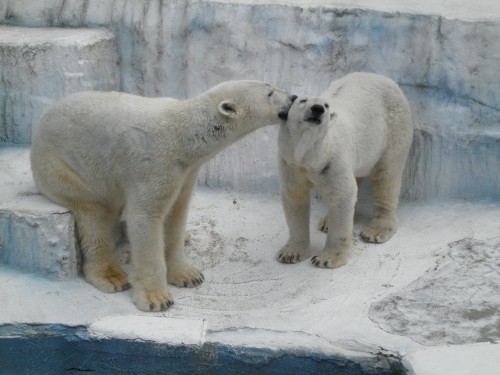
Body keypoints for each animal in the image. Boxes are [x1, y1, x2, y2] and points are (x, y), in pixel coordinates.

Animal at [30, 81, 296, 312]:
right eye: (270, 92)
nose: (293, 98)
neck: (184, 135)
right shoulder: (154, 163)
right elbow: (146, 218)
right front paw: (157, 298)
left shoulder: (186, 171)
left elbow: (176, 214)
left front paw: (188, 275)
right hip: (67, 171)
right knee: (94, 216)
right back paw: (112, 276)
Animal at [276, 72, 412, 268]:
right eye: (303, 100)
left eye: (326, 105)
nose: (317, 109)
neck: (309, 157)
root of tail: (382, 77)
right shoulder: (291, 163)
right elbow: (294, 196)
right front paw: (290, 253)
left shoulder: (332, 159)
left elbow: (342, 194)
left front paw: (326, 258)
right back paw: (327, 221)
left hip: (394, 129)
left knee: (387, 175)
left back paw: (376, 230)